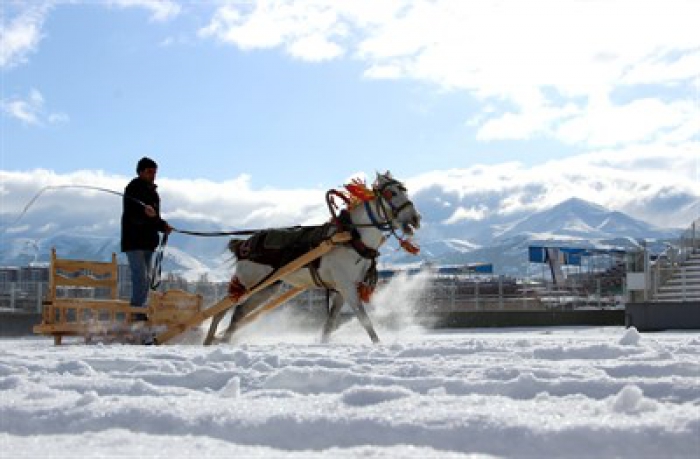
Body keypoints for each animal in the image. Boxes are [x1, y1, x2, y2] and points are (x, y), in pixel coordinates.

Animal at [202, 172, 422, 344]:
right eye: (391, 193)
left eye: (405, 190)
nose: (415, 219)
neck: (352, 237)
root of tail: (243, 244)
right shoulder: (347, 286)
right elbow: (364, 319)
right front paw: (378, 344)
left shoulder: (342, 289)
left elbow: (330, 323)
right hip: (251, 283)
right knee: (225, 310)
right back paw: (214, 339)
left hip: (267, 288)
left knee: (237, 312)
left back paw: (221, 339)